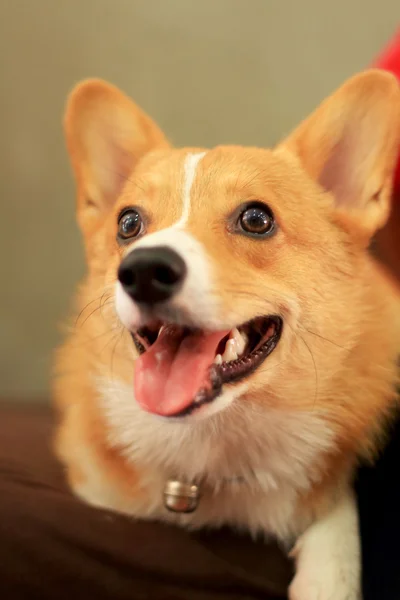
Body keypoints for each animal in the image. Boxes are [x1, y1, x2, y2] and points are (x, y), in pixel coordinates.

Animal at [54, 68, 400, 596]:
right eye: (128, 223)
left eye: (257, 218)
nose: (144, 270)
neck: (213, 445)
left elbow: (335, 521)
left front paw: (327, 575)